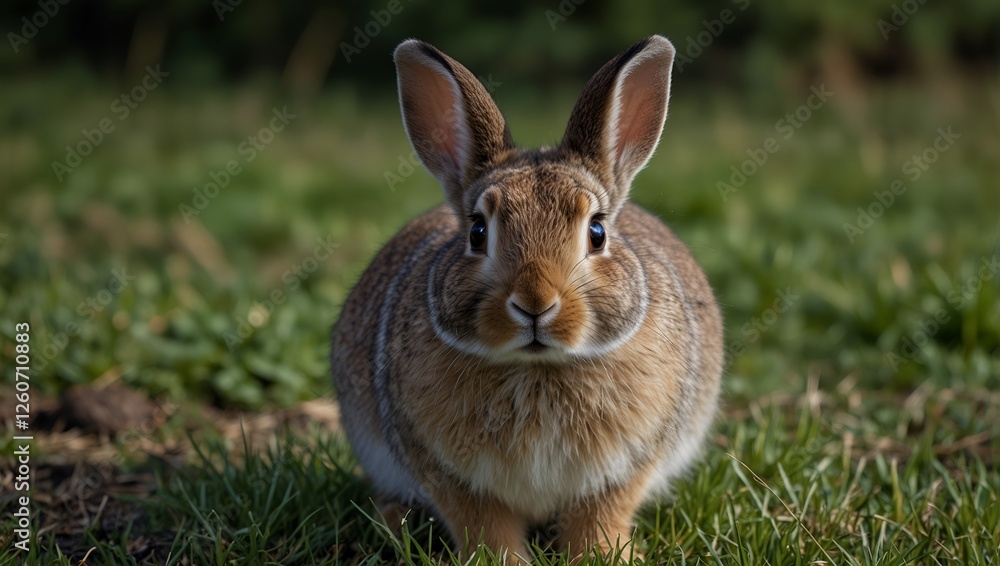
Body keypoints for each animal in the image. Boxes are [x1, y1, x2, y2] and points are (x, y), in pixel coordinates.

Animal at [332, 34, 723, 563]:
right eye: (477, 232)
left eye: (597, 232)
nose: (535, 304)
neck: (538, 367)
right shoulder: (448, 474)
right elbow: (484, 525)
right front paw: (501, 560)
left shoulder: (625, 468)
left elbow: (599, 518)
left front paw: (605, 556)